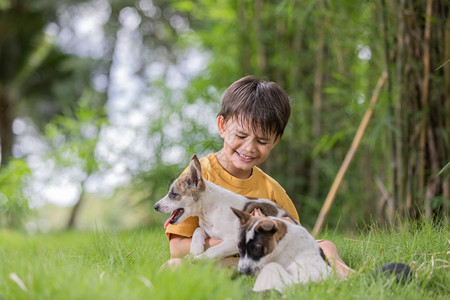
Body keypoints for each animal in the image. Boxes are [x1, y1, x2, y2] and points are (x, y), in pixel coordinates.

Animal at [153, 155, 298, 260]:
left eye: (173, 194)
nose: (155, 206)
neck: (209, 212)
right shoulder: (208, 229)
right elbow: (198, 230)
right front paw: (195, 250)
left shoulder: (234, 240)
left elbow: (213, 250)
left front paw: (197, 259)